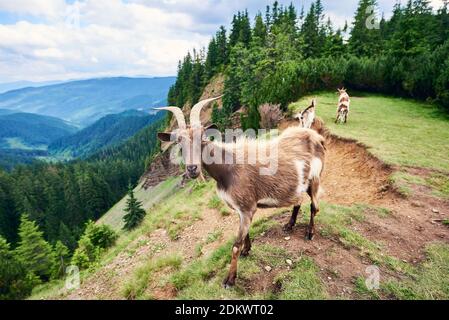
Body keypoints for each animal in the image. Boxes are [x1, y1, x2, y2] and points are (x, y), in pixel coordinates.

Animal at [156, 97, 324, 288]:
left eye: (203, 139)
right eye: (179, 142)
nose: (192, 169)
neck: (228, 168)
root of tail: (317, 137)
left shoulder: (247, 207)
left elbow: (235, 244)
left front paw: (230, 279)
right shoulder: (241, 208)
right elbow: (245, 234)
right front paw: (247, 250)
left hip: (315, 178)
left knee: (314, 206)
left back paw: (310, 233)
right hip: (300, 184)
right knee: (298, 201)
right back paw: (289, 225)